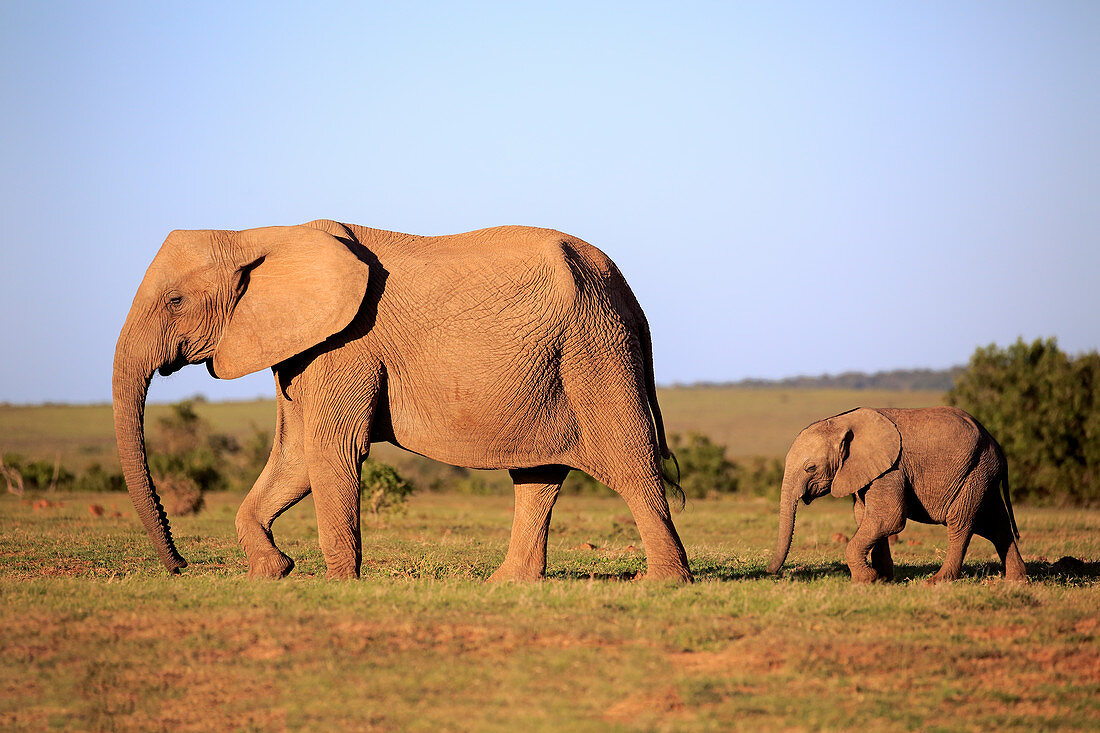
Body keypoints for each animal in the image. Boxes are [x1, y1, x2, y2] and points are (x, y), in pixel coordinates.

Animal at [116, 220, 690, 581]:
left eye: (175, 301)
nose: (182, 568)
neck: (259, 235)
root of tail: (631, 296)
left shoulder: (345, 344)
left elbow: (330, 451)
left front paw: (338, 583)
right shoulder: (303, 348)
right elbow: (295, 456)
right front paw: (271, 572)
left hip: (595, 350)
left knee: (630, 465)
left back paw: (664, 584)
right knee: (538, 476)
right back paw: (507, 584)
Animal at [770, 405, 1025, 581]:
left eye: (810, 468)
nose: (771, 572)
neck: (843, 421)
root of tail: (997, 445)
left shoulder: (892, 469)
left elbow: (888, 519)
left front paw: (866, 580)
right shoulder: (867, 471)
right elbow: (866, 517)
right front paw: (882, 579)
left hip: (976, 471)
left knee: (961, 522)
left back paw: (938, 581)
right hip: (982, 474)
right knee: (995, 524)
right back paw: (1016, 581)